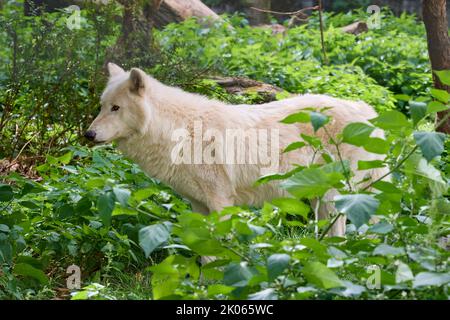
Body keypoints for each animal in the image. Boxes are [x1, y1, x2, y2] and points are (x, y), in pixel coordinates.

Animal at [85, 63, 386, 238]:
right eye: (102, 106)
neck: (178, 130)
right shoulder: (198, 205)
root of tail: (368, 110)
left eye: (116, 108)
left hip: (336, 199)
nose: (88, 134)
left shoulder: (221, 202)